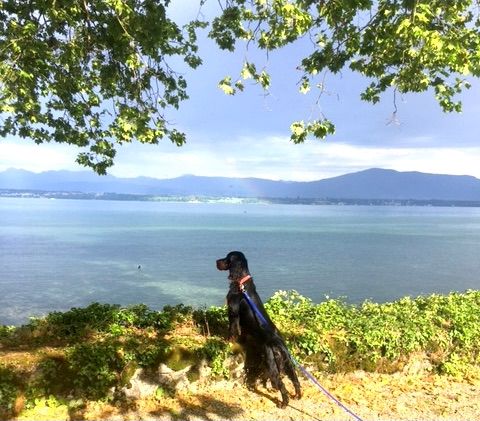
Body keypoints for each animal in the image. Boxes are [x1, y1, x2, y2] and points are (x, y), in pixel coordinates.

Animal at [217, 251, 302, 406]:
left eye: (227, 258)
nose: (216, 261)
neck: (241, 283)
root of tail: (279, 345)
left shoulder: (233, 313)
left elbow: (232, 329)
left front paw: (228, 341)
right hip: (288, 363)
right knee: (295, 380)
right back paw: (297, 396)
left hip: (271, 364)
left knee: (281, 384)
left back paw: (283, 403)